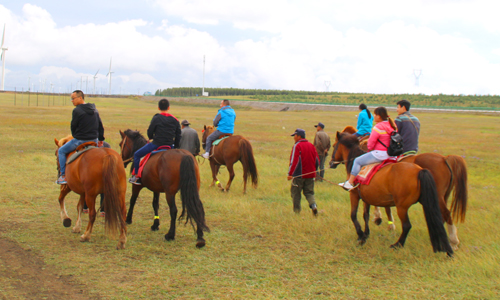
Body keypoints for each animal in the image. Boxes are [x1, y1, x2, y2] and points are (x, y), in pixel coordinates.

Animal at [338, 125, 466, 250]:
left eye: (335, 145)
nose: (332, 163)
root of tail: (444, 158)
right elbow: (370, 212)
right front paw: (373, 228)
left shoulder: (357, 193)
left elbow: (358, 214)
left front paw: (366, 232)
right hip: (439, 196)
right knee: (440, 215)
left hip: (422, 201)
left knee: (440, 216)